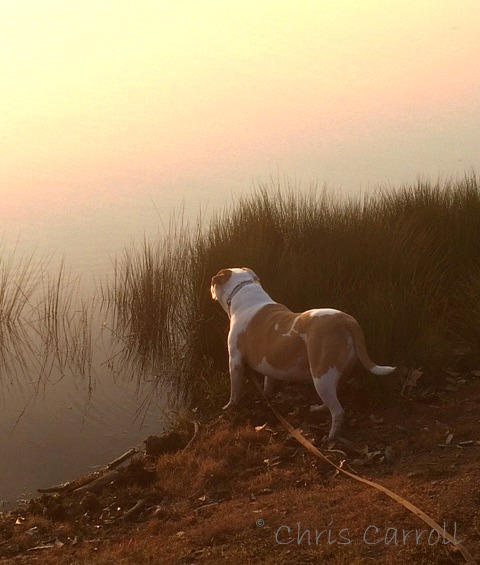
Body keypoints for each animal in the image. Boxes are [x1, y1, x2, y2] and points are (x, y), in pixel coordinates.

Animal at [209, 268, 394, 440]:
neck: (243, 291)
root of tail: (349, 322)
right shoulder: (269, 361)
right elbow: (268, 383)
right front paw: (266, 397)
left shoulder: (235, 362)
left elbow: (235, 391)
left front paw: (229, 407)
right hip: (335, 373)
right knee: (332, 398)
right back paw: (319, 408)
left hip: (321, 375)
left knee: (338, 412)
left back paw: (330, 437)